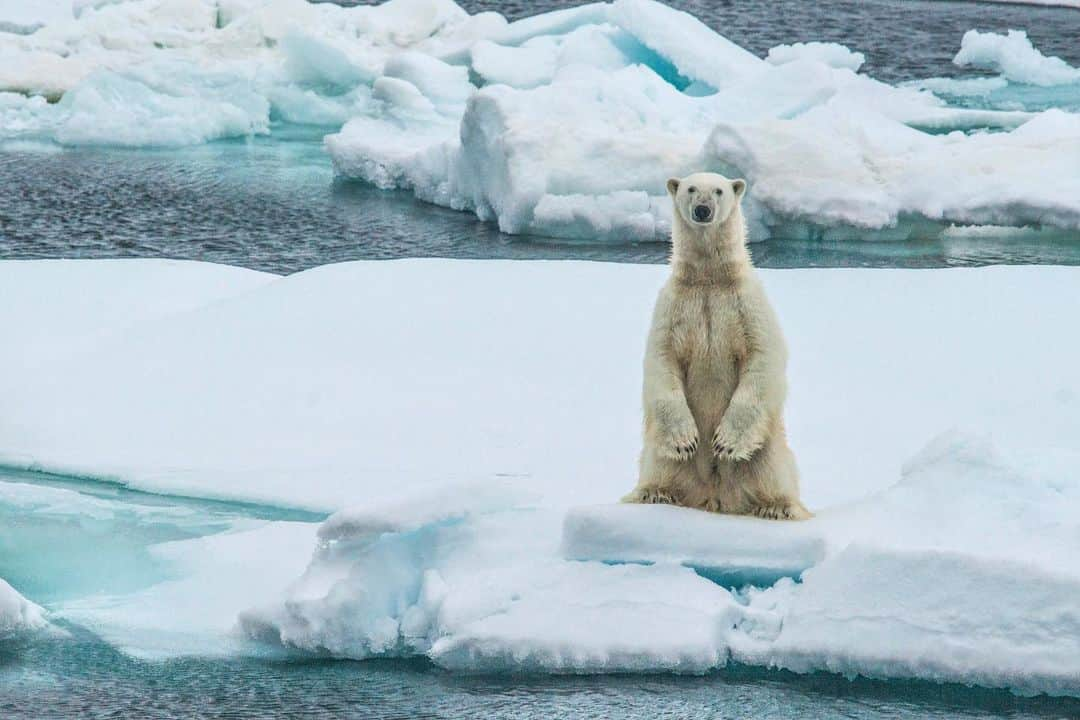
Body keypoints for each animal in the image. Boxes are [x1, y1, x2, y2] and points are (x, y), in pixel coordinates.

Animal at [626, 171, 812, 520]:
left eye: (718, 190)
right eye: (690, 189)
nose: (702, 210)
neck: (709, 279)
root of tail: (714, 496)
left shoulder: (747, 305)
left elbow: (762, 357)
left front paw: (725, 444)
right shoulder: (673, 307)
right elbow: (661, 360)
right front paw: (686, 440)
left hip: (768, 446)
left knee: (775, 469)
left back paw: (778, 507)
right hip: (661, 455)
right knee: (658, 463)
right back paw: (651, 494)